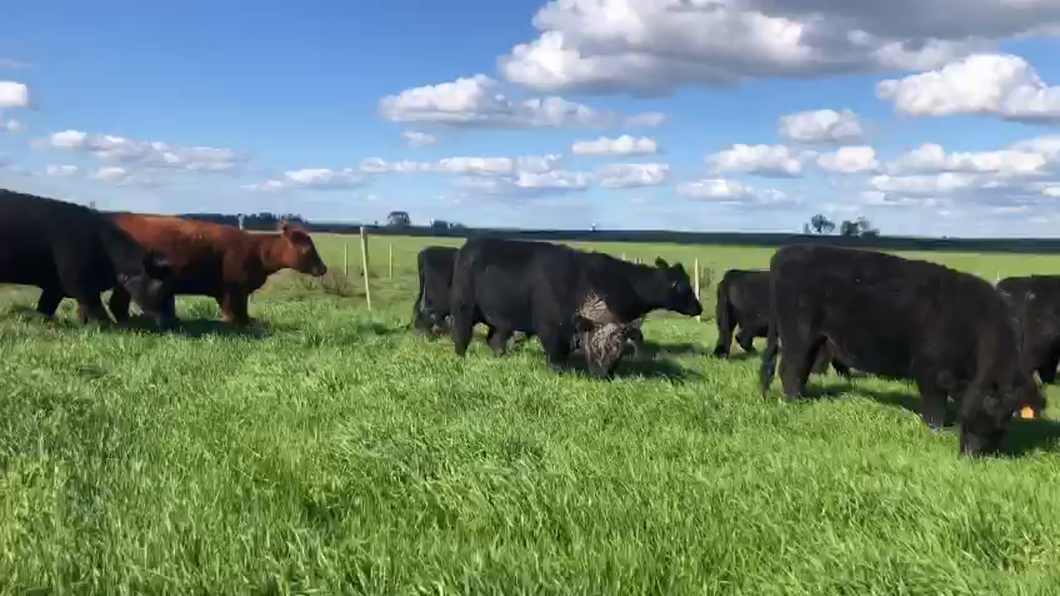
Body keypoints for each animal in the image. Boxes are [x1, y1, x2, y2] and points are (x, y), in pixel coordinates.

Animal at [0, 187, 175, 324]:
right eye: (163, 283)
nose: (174, 321)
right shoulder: (81, 283)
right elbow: (94, 307)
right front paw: (106, 326)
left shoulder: (56, 286)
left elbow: (47, 305)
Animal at [106, 212, 326, 324]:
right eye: (307, 249)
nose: (323, 268)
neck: (256, 250)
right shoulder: (232, 289)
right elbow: (235, 314)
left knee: (117, 304)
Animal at [449, 236, 703, 375]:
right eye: (682, 286)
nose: (699, 308)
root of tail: (472, 244)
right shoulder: (550, 329)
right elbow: (556, 357)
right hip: (464, 308)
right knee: (461, 335)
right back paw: (460, 358)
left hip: (503, 319)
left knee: (496, 340)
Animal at [763, 243, 1043, 456]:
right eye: (973, 416)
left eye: (1003, 424)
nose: (970, 454)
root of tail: (787, 251)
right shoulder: (929, 372)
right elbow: (934, 408)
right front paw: (936, 430)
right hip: (798, 337)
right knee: (790, 370)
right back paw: (793, 402)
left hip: (815, 340)